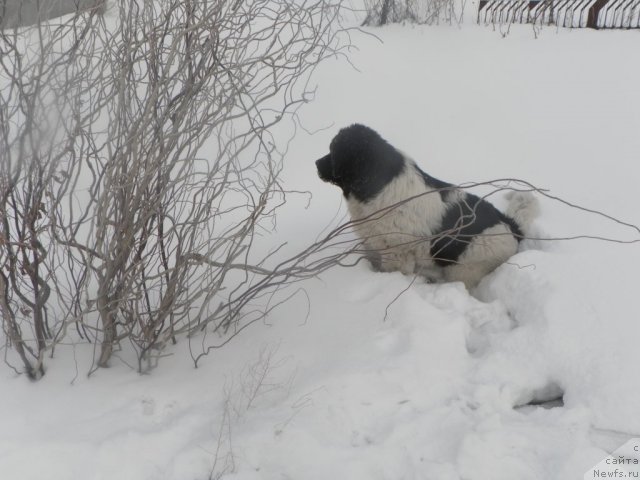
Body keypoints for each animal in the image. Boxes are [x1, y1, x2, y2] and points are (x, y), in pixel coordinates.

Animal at [316, 124, 540, 288]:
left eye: (333, 151)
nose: (316, 163)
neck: (380, 184)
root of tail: (511, 225)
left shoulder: (397, 252)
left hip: (465, 267)